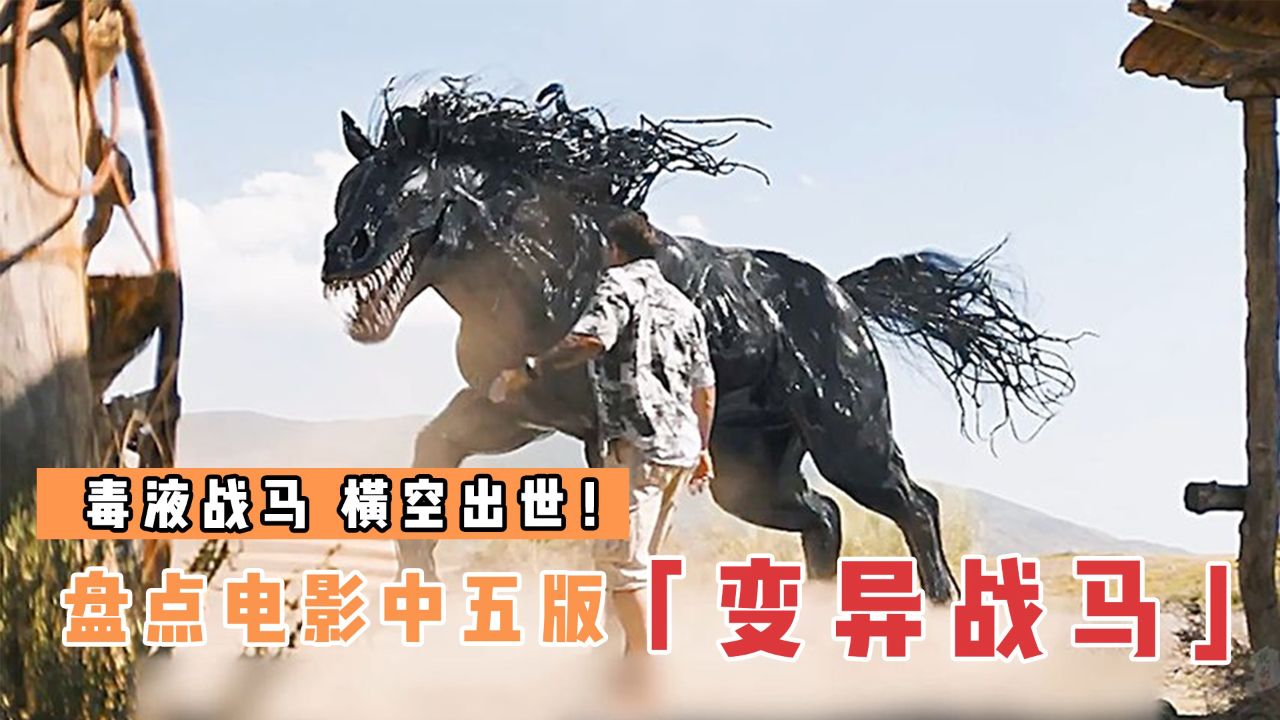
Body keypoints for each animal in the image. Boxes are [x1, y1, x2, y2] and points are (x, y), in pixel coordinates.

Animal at [319, 79, 1075, 603]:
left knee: (912, 506)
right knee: (825, 520)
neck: (547, 263)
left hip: (850, 441)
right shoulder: (513, 412)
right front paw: (419, 577)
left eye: (407, 188)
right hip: (752, 474)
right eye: (347, 188)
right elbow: (432, 453)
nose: (337, 253)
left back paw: (944, 607)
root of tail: (843, 295)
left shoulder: (594, 429)